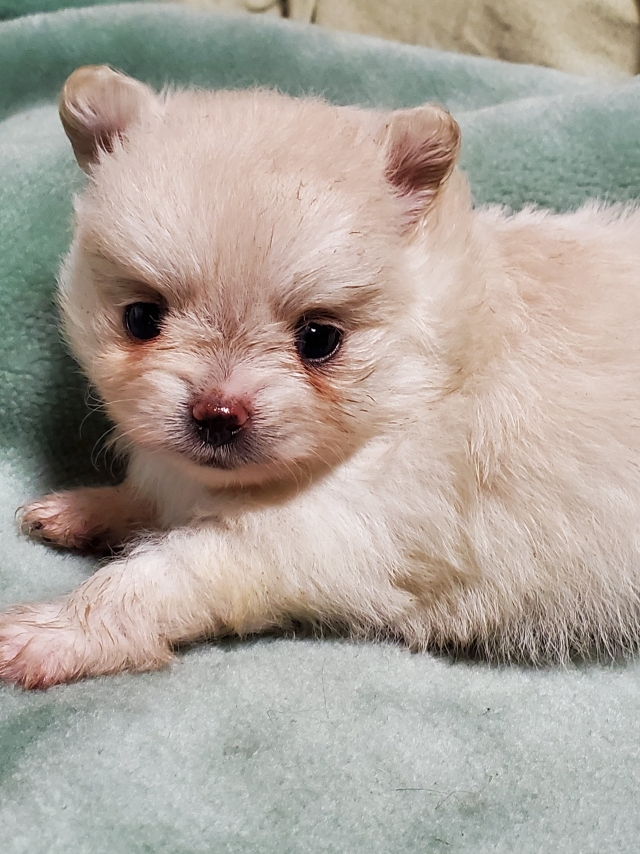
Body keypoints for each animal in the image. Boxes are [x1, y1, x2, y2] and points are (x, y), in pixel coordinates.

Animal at [1, 65, 640, 688]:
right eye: (140, 319)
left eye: (318, 340)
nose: (217, 416)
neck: (422, 381)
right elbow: (149, 498)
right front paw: (85, 509)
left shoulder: (321, 535)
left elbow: (154, 577)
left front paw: (56, 633)